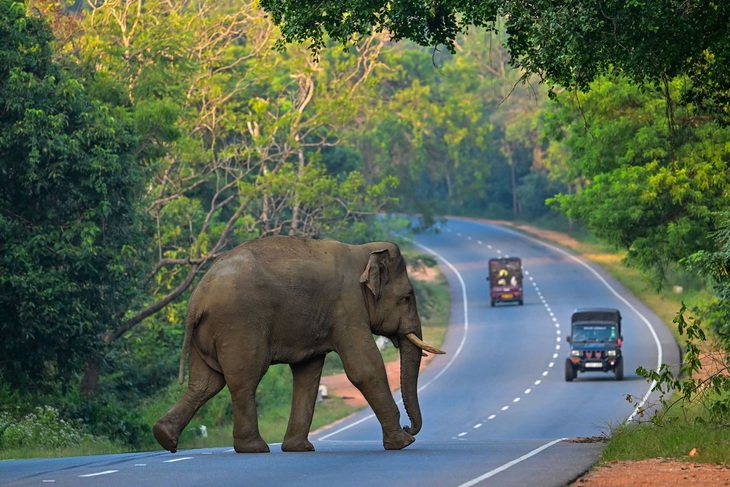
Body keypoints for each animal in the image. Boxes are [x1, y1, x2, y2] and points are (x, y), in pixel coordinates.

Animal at [151, 235, 440, 454]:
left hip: (207, 334)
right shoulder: (346, 308)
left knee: (205, 384)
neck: (362, 251)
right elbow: (364, 368)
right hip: (238, 327)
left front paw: (298, 449)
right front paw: (403, 443)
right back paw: (255, 449)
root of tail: (196, 301)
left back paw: (164, 436)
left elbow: (308, 373)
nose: (409, 427)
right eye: (406, 298)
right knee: (245, 380)